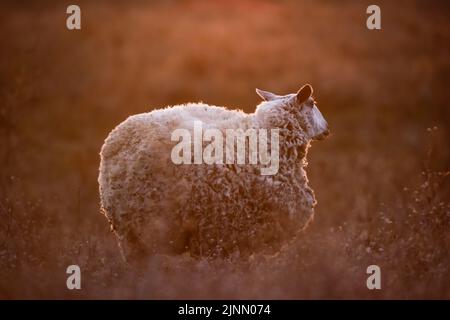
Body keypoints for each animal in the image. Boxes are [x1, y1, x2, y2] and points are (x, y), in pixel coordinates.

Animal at [99, 84, 330, 262]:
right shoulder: (230, 234)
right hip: (151, 226)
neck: (270, 137)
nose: (327, 129)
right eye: (312, 103)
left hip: (130, 234)